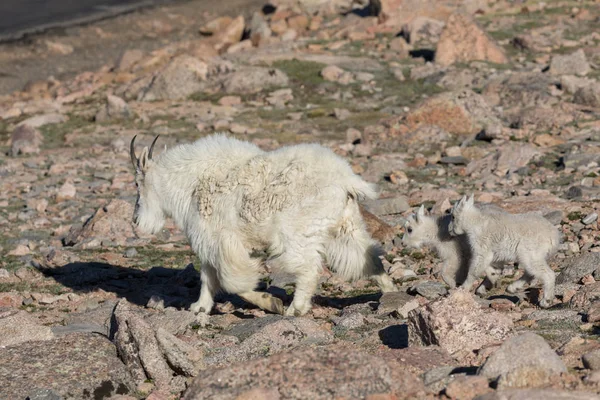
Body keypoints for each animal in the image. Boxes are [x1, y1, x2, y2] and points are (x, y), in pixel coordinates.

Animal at [129, 134, 396, 324]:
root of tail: (346, 179)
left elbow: (232, 281)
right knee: (369, 257)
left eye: (137, 183)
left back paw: (295, 309)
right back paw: (390, 293)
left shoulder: (224, 240)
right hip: (345, 227)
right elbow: (208, 275)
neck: (190, 183)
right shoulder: (210, 241)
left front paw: (270, 302)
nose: (136, 221)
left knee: (308, 269)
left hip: (298, 232)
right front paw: (199, 307)